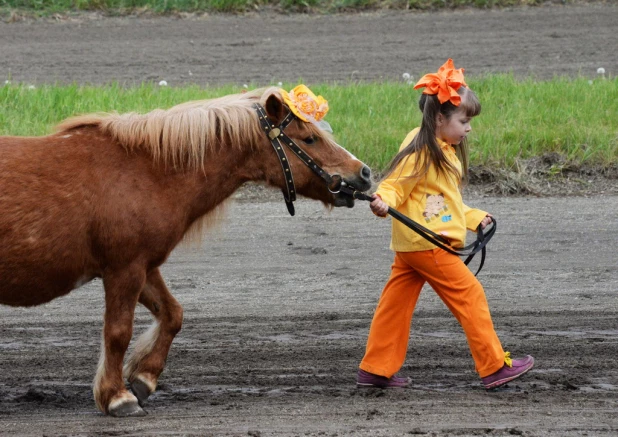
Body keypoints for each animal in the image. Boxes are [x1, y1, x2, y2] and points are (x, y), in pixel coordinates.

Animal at [0, 85, 368, 416]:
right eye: (309, 139)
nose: (363, 173)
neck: (147, 170)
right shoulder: (124, 269)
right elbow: (118, 333)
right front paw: (117, 396)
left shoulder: (144, 266)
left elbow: (172, 315)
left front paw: (144, 377)